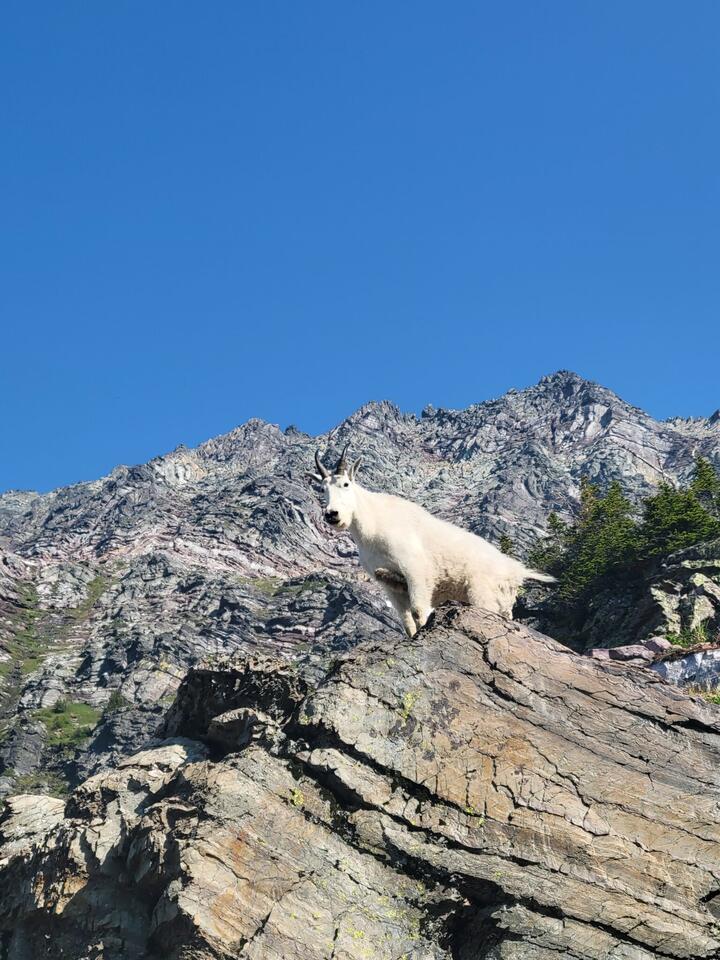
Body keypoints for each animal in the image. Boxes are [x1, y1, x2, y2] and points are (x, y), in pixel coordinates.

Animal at [309, 444, 554, 636]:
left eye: (346, 484)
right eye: (322, 488)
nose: (332, 514)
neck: (372, 527)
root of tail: (515, 571)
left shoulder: (415, 569)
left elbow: (419, 611)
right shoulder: (388, 584)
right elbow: (407, 622)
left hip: (482, 592)